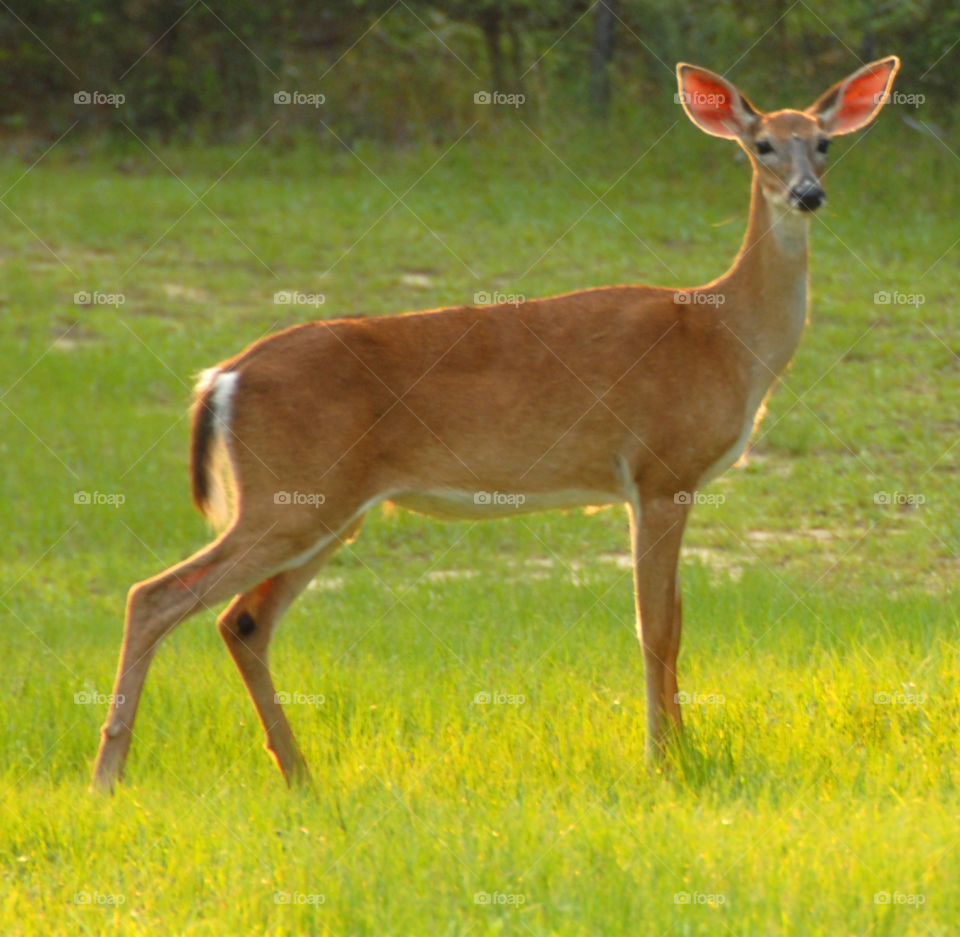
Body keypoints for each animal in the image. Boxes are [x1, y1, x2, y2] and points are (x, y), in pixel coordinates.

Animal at [92, 57, 899, 792]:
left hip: (329, 507)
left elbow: (671, 618)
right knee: (156, 594)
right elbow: (658, 626)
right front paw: (664, 763)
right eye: (761, 145)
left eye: (824, 143)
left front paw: (676, 752)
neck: (725, 337)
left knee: (241, 621)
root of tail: (221, 376)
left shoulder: (665, 481)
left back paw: (300, 775)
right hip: (292, 494)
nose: (808, 194)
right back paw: (110, 775)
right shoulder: (660, 468)